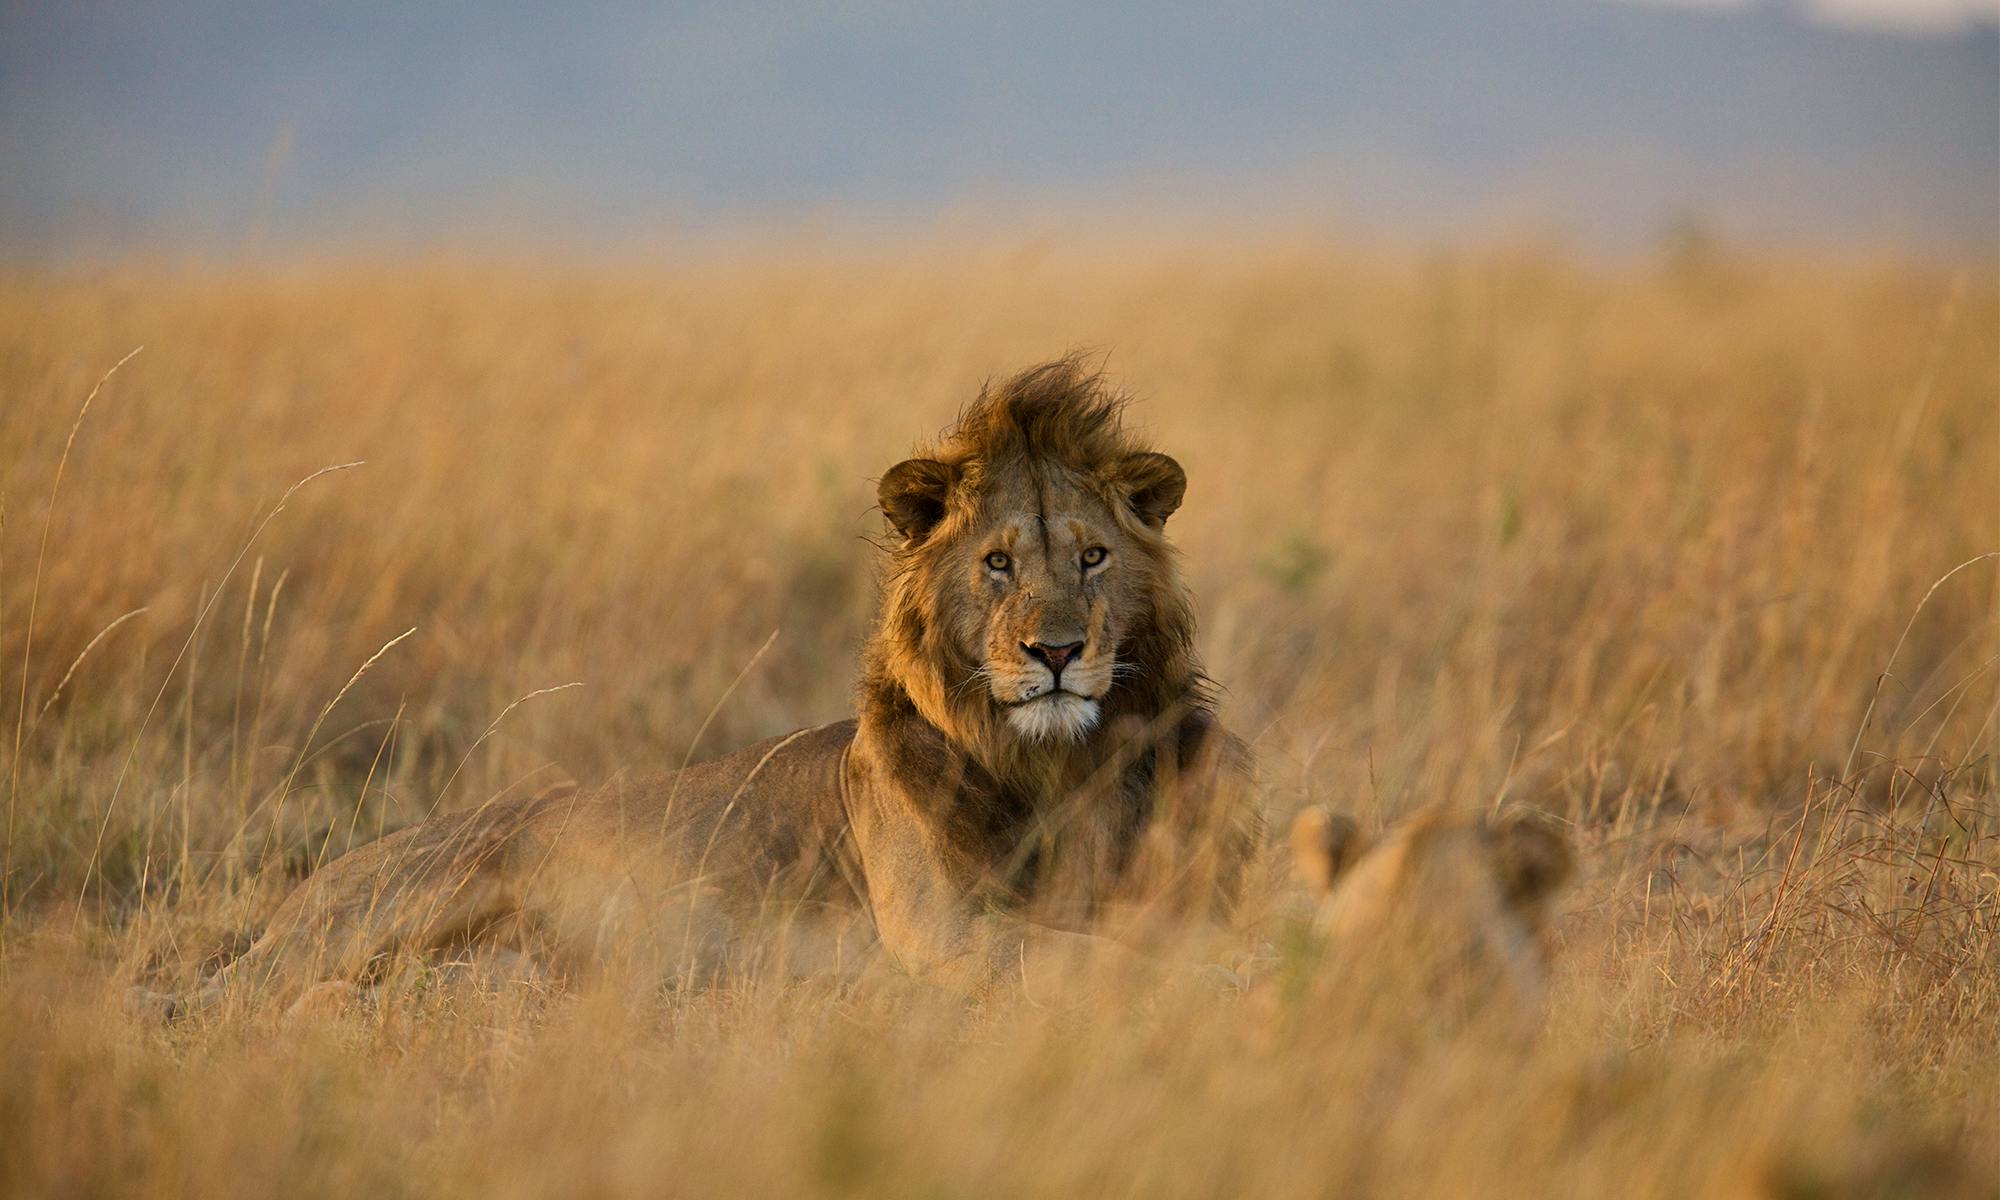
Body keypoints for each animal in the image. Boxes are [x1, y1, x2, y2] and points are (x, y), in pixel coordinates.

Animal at [135, 357, 1259, 1016]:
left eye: (1091, 558)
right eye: (996, 565)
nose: (1057, 652)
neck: (1051, 768)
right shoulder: (942, 932)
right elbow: (1098, 954)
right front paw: (1224, 980)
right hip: (396, 896)